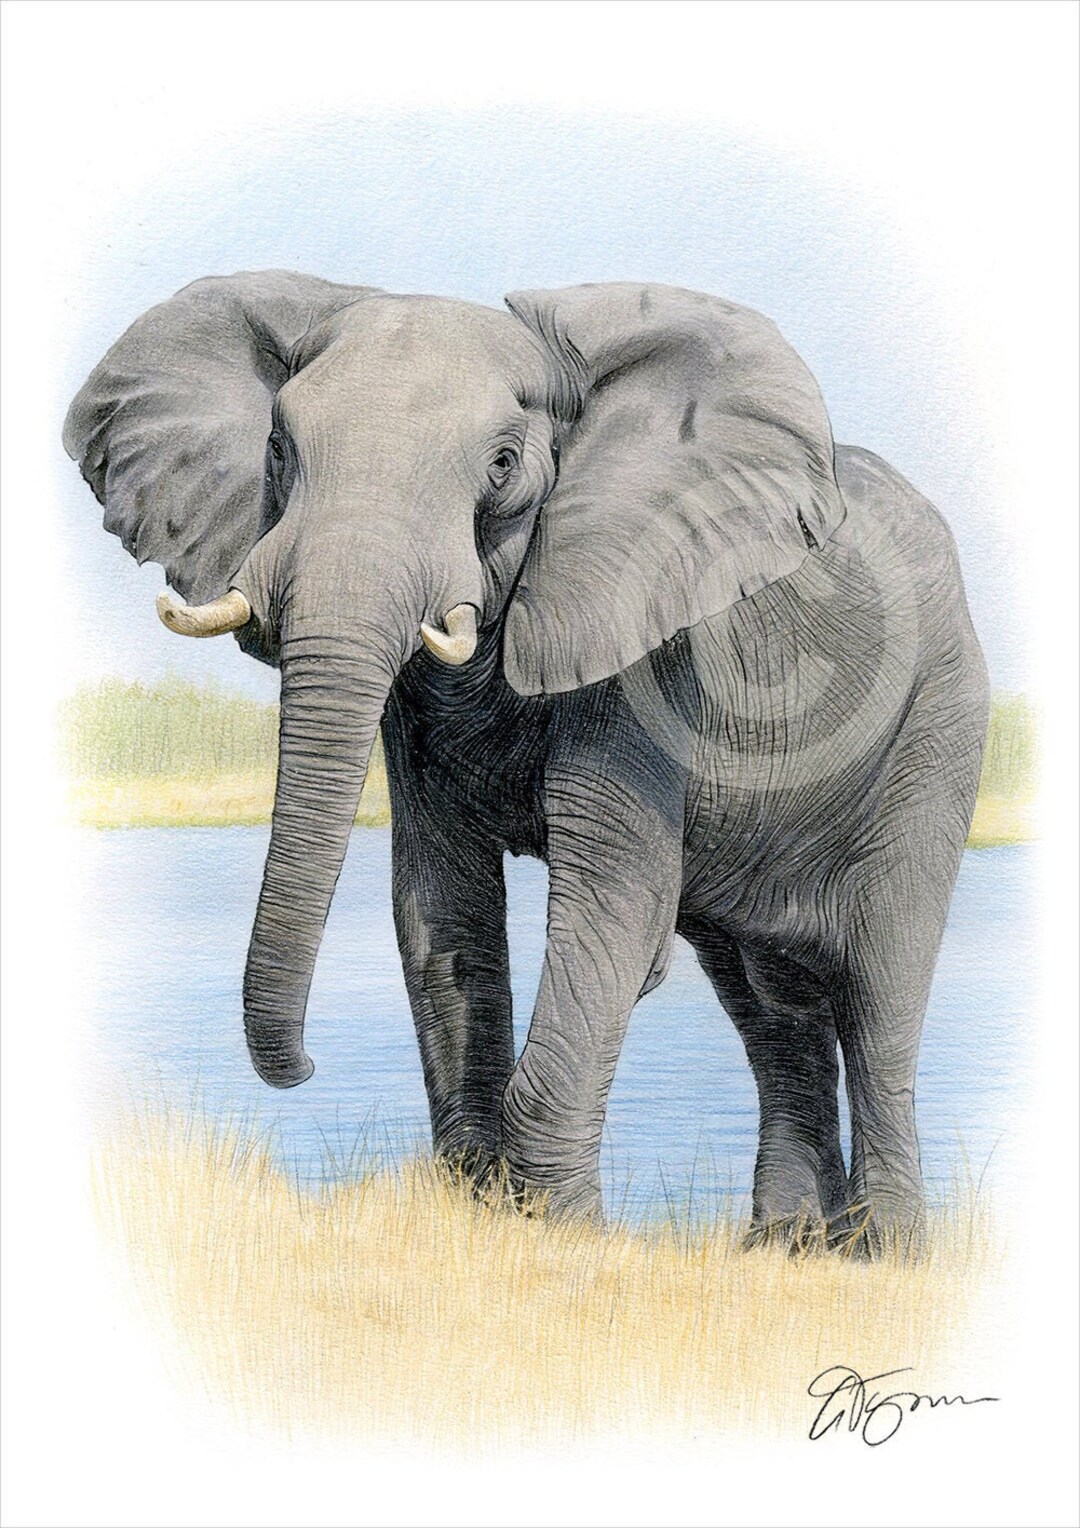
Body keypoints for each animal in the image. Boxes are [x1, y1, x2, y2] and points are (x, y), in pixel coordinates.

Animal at [64, 273, 989, 1248]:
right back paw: (790, 1251)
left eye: (503, 466)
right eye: (277, 448)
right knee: (769, 1004)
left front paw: (564, 1236)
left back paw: (887, 1255)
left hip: (938, 724)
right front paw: (478, 1209)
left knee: (880, 988)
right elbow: (441, 906)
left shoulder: (645, 649)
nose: (308, 1067)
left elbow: (614, 908)